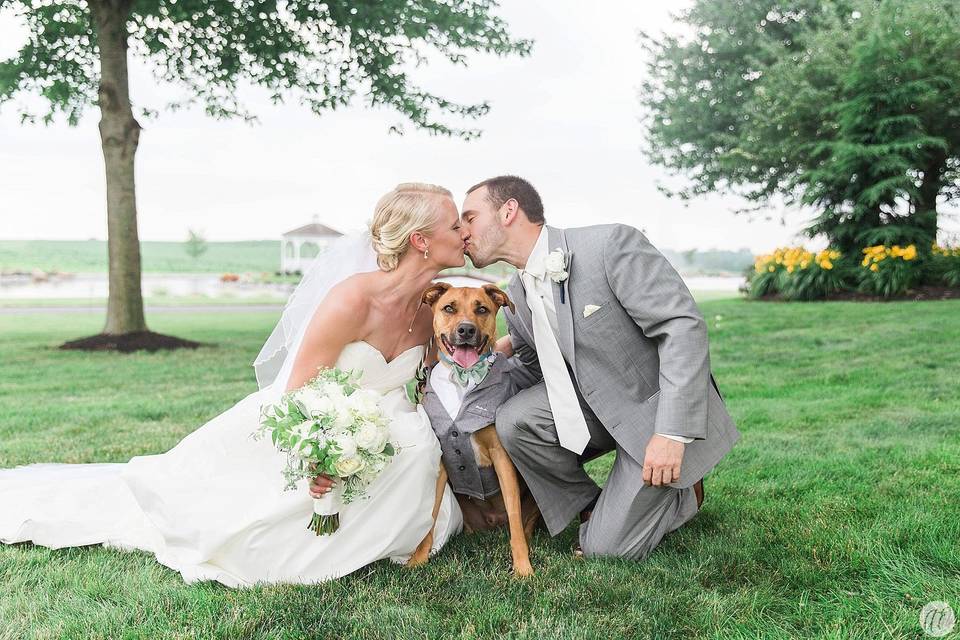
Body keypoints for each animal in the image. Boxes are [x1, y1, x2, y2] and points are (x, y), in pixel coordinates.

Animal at [404, 282, 536, 576]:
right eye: (449, 308)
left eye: (482, 309)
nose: (466, 330)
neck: (462, 378)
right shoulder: (443, 458)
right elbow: (430, 516)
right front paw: (418, 558)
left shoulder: (501, 456)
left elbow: (514, 516)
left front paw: (523, 567)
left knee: (524, 523)